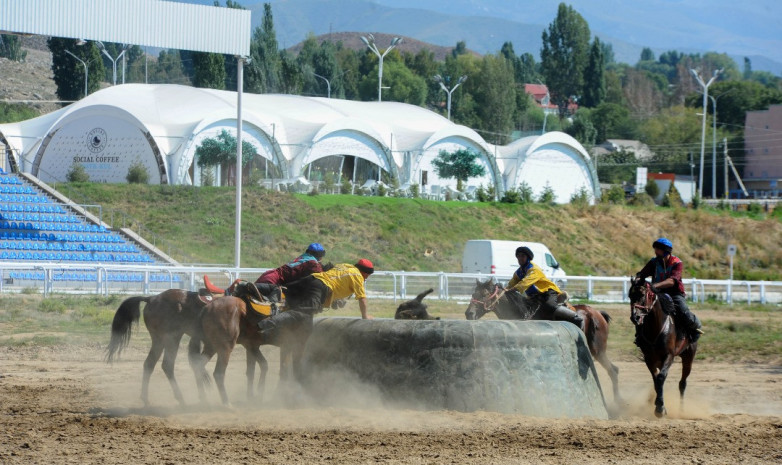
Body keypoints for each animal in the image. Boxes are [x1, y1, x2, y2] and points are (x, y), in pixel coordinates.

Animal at [466, 276, 624, 402]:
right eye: (473, 293)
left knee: (613, 370)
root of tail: (597, 313)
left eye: (485, 294)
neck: (525, 311)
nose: (469, 313)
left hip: (598, 350)